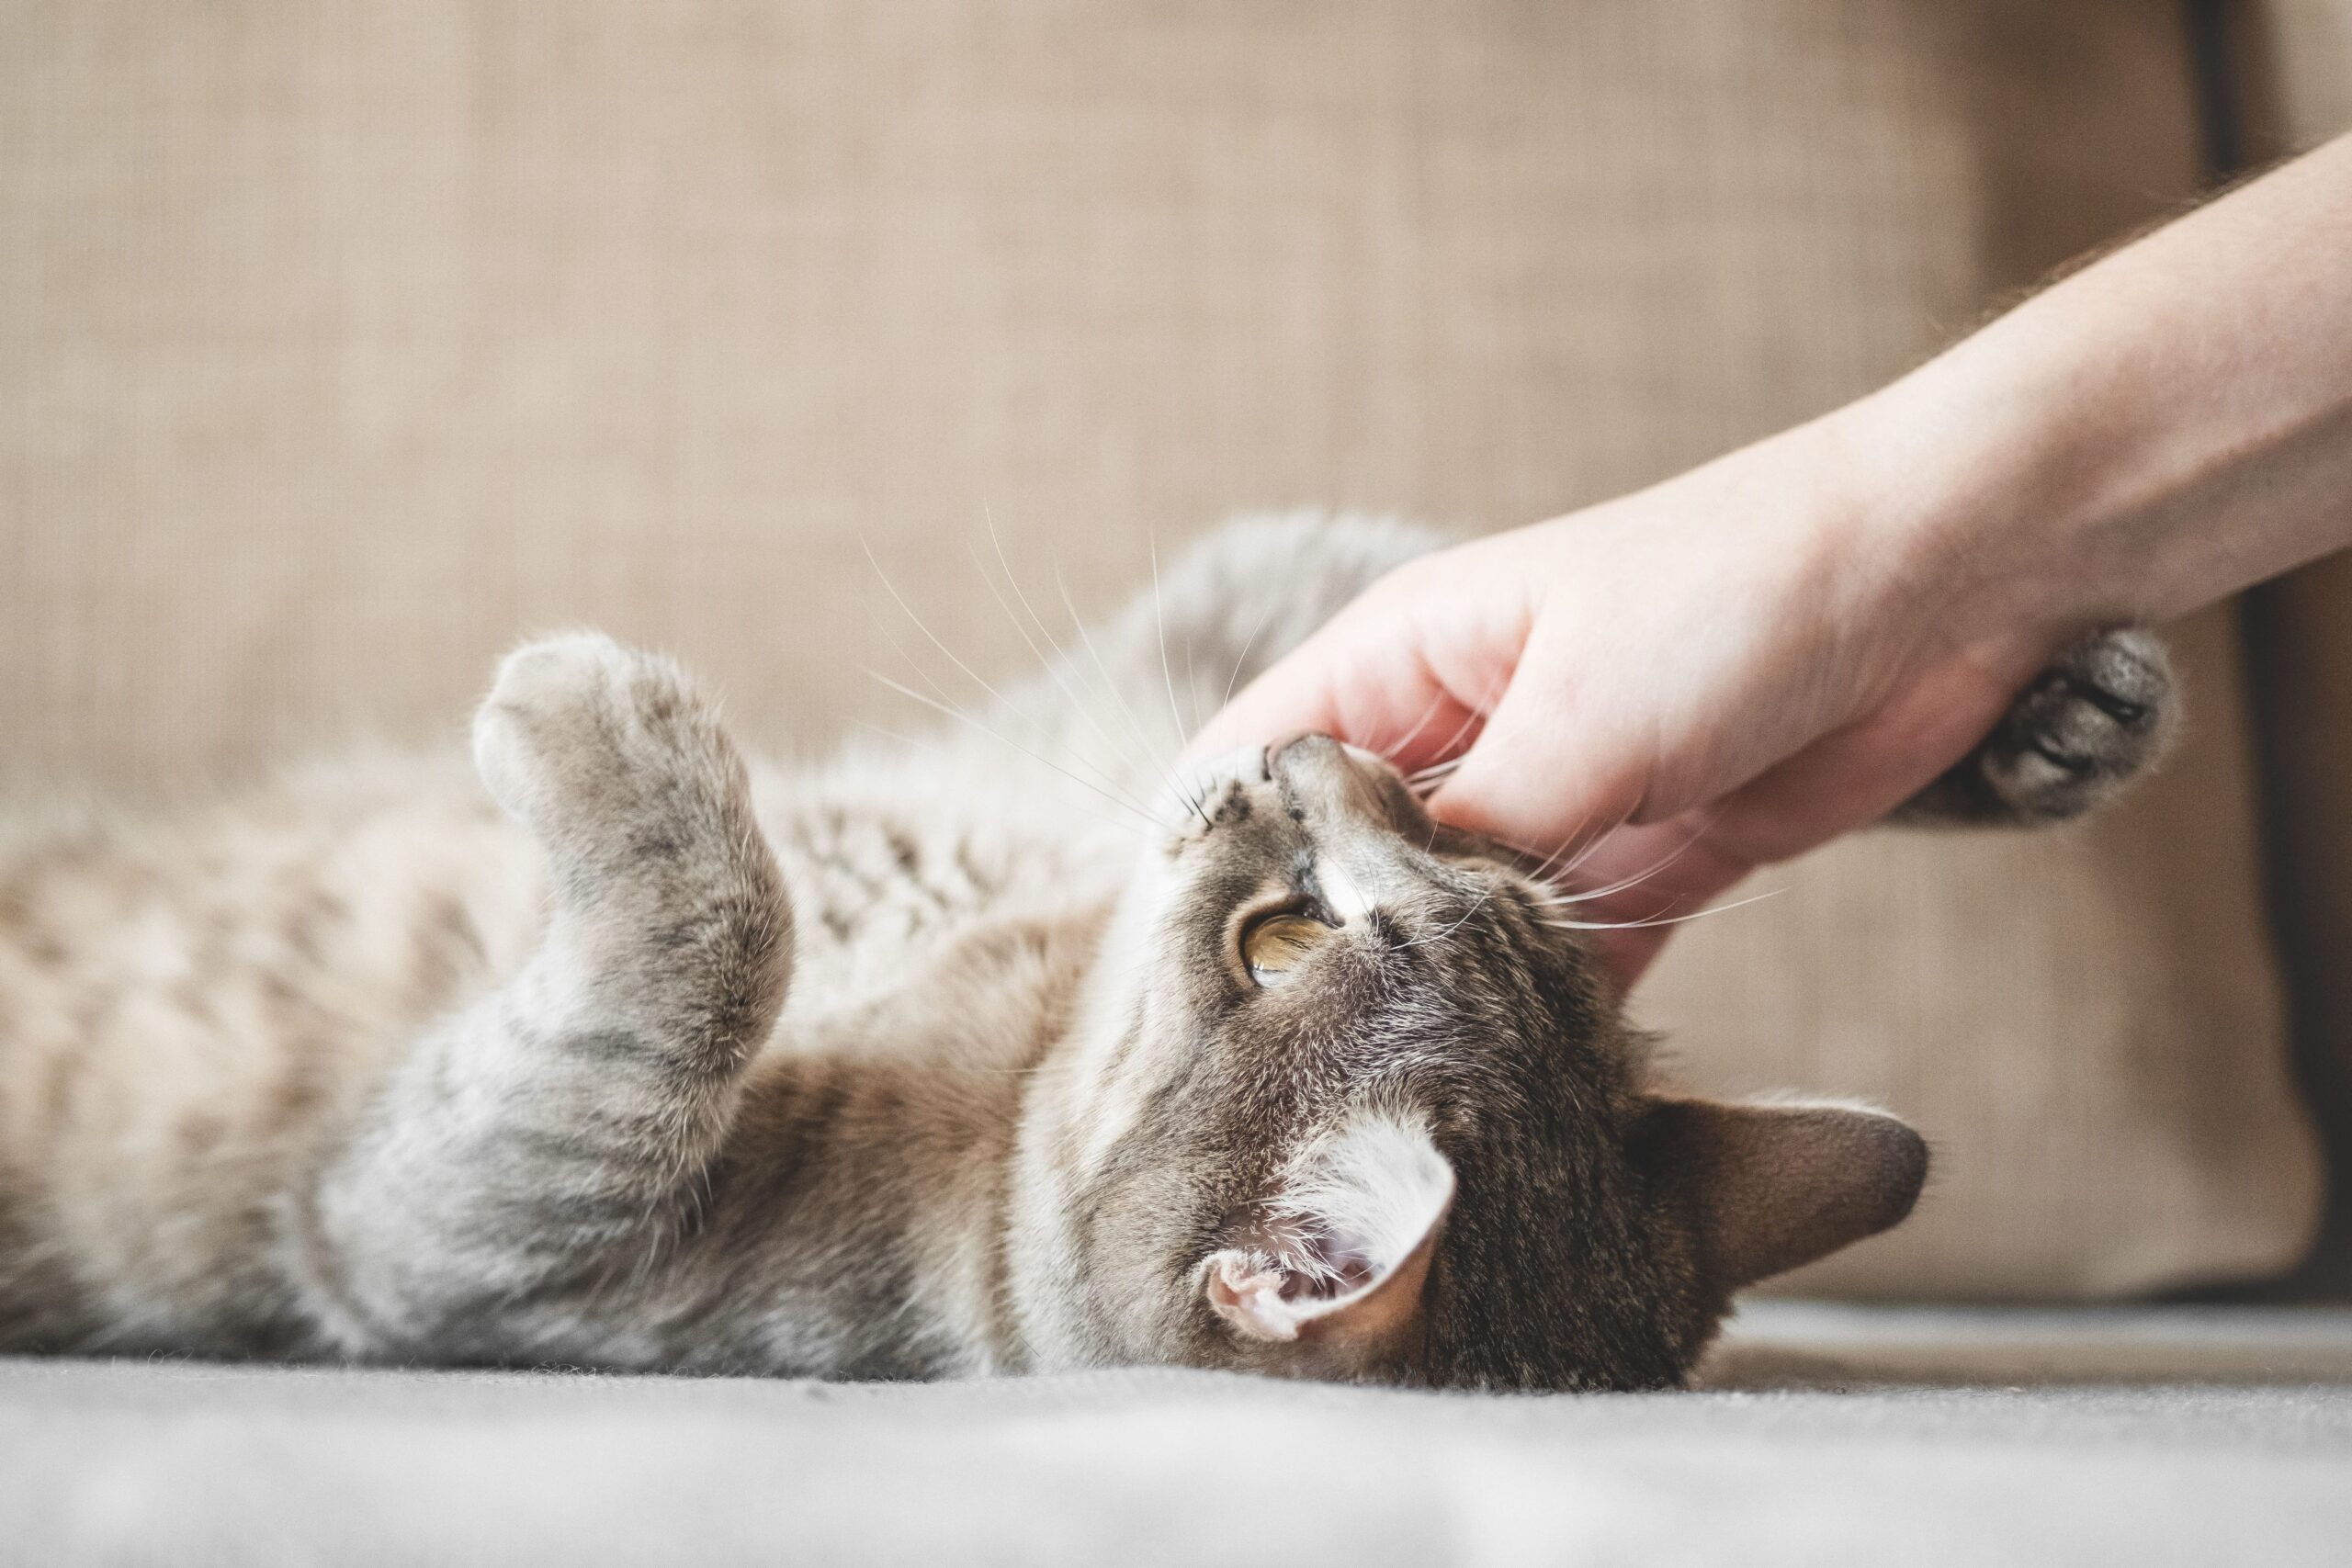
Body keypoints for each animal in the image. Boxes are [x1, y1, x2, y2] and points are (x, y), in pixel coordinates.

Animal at [0, 522, 2173, 1392]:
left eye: (1276, 939)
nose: (1330, 763)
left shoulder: (447, 1240)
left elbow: (693, 963)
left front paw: (599, 718)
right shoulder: (1199, 643)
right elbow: (1394, 550)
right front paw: (2028, 712)